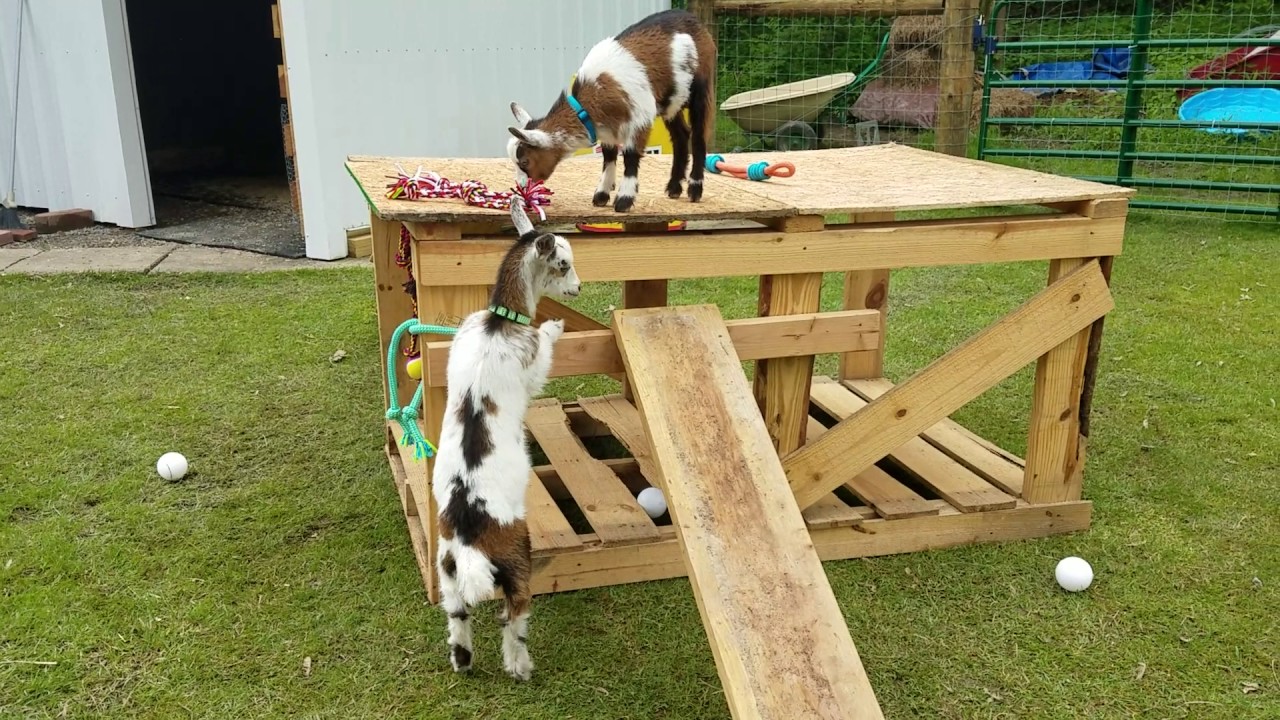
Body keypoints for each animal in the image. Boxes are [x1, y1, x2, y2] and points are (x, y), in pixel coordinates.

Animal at [430, 199, 580, 681]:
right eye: (563, 263)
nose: (577, 288)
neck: (501, 321)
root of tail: (468, 538)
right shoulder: (534, 365)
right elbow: (545, 349)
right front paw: (555, 325)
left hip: (447, 571)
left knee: (458, 617)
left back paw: (463, 661)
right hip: (518, 557)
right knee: (513, 616)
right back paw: (519, 666)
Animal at [507, 8, 716, 213]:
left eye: (524, 161)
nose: (522, 188)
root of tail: (695, 20)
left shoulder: (640, 118)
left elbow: (630, 156)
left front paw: (624, 200)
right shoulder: (607, 128)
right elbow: (608, 157)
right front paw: (602, 194)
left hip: (702, 87)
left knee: (698, 136)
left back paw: (694, 188)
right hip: (671, 102)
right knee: (681, 135)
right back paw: (674, 187)